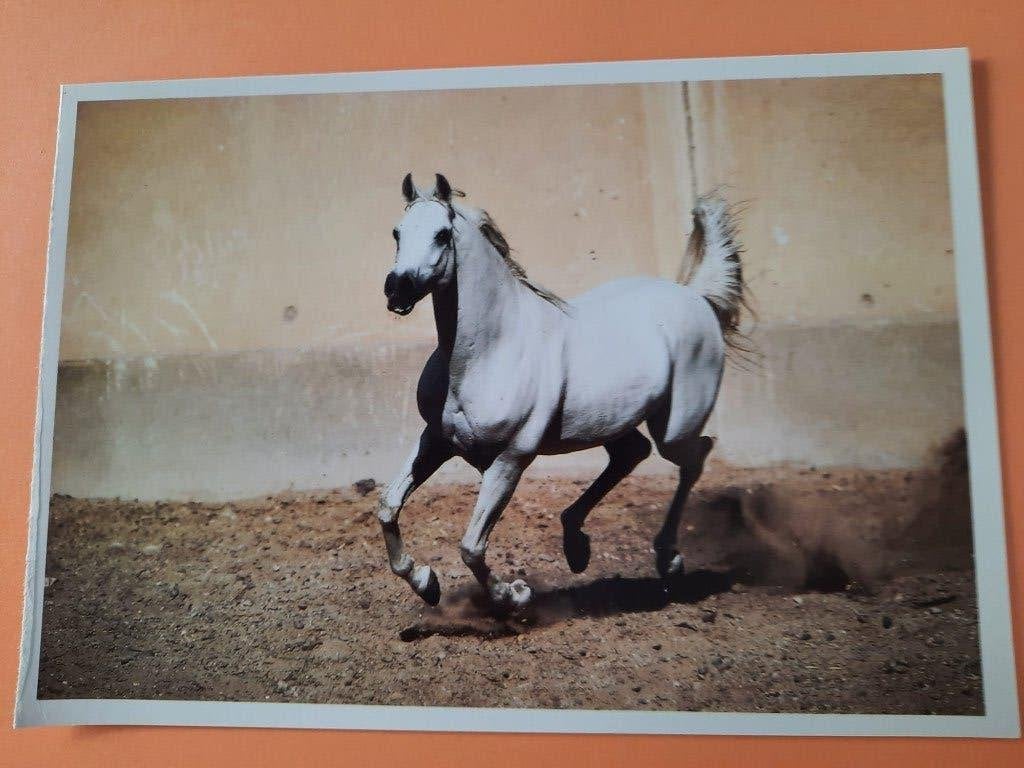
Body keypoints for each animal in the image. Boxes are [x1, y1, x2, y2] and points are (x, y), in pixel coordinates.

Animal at [377, 172, 746, 610]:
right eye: (397, 232)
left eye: (441, 234)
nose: (397, 289)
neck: (490, 350)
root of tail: (696, 296)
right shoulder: (436, 439)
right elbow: (388, 508)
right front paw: (426, 583)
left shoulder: (511, 459)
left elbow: (471, 547)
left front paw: (515, 596)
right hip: (612, 421)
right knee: (633, 454)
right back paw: (577, 546)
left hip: (675, 430)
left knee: (695, 457)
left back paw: (668, 559)